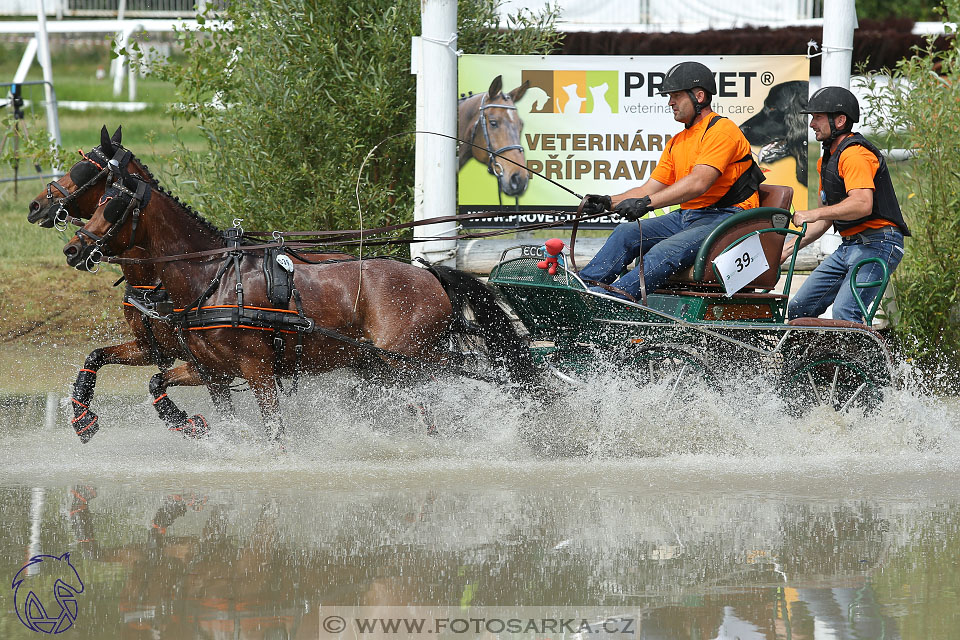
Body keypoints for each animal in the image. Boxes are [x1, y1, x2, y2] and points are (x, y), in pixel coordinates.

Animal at [60, 144, 532, 444]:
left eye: (113, 206)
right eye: (98, 199)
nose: (73, 248)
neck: (211, 277)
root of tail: (431, 276)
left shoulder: (258, 370)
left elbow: (275, 432)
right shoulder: (208, 369)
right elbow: (156, 378)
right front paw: (94, 419)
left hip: (406, 365)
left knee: (430, 410)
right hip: (379, 367)